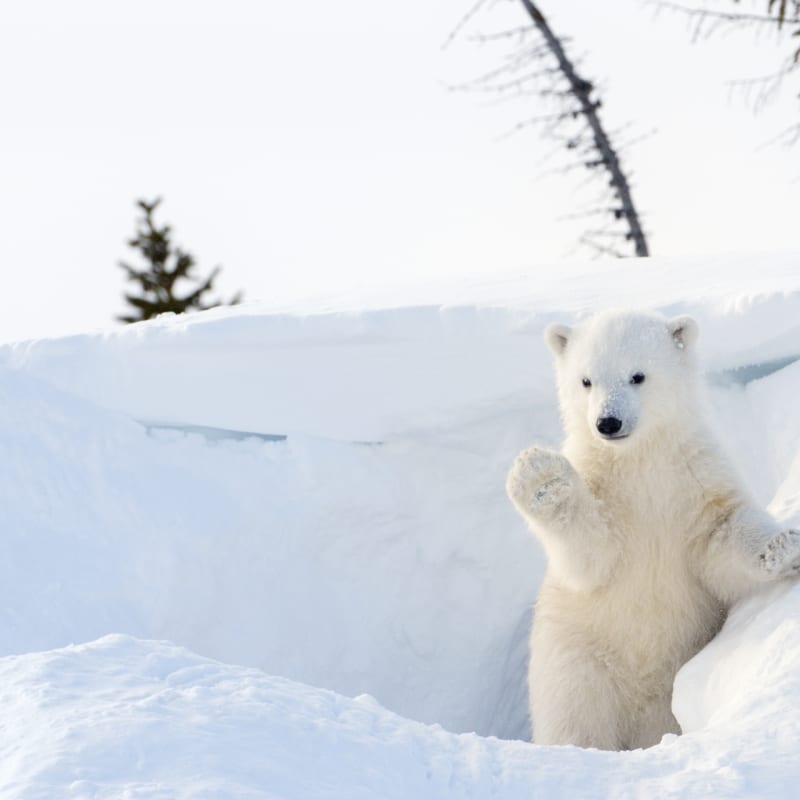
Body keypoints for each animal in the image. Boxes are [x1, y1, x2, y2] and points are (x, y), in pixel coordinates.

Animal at [506, 309, 800, 751]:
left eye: (638, 376)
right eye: (586, 380)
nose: (607, 422)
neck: (639, 461)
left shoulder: (695, 480)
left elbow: (721, 537)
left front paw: (784, 546)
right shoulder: (604, 491)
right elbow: (591, 556)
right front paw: (541, 477)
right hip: (577, 661)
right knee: (576, 718)